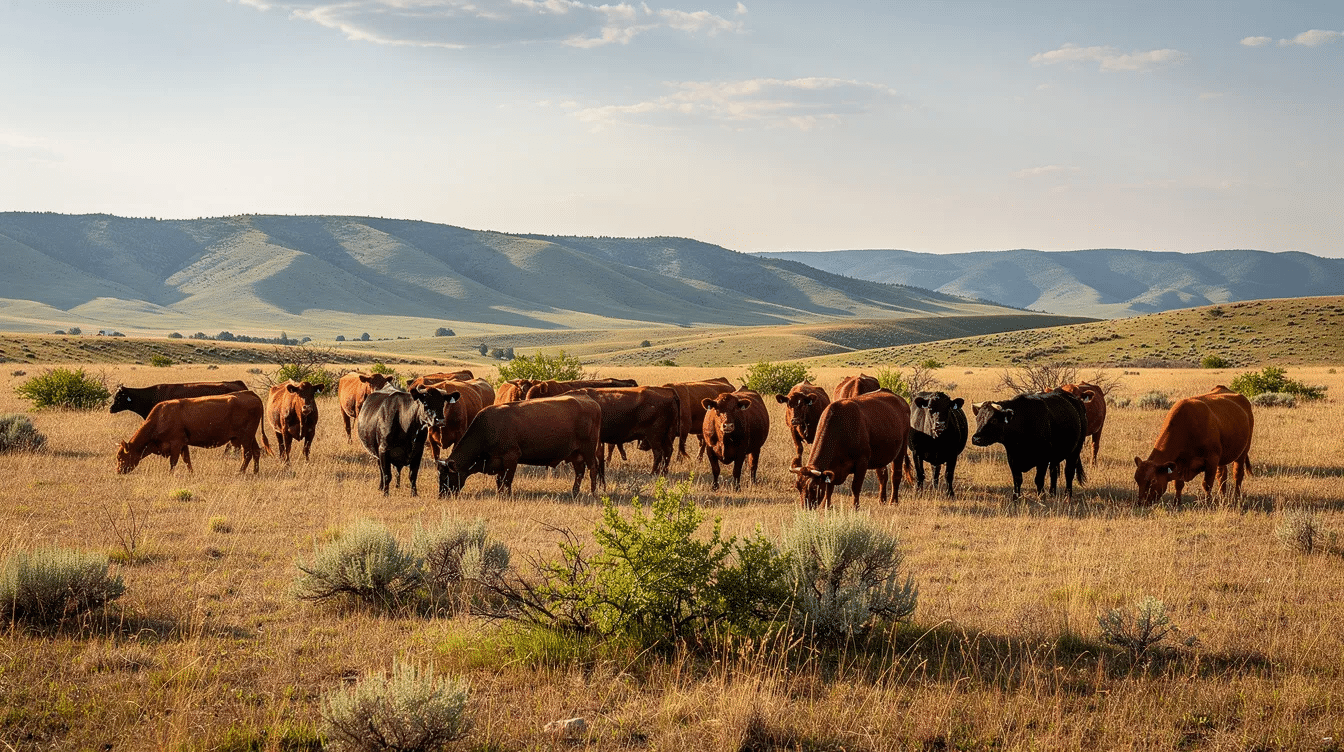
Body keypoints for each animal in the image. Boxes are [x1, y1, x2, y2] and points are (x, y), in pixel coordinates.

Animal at [116, 391, 269, 474]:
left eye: (120, 457)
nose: (118, 471)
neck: (161, 417)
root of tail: (250, 394)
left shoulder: (176, 444)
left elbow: (174, 462)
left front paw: (170, 474)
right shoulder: (184, 444)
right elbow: (187, 460)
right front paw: (191, 473)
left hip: (245, 437)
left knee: (247, 454)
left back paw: (240, 472)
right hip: (250, 437)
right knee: (256, 451)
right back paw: (255, 472)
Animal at [436, 394, 602, 497]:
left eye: (447, 476)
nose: (442, 495)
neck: (487, 428)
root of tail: (591, 402)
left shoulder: (511, 458)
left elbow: (507, 480)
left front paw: (507, 495)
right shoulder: (499, 463)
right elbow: (499, 481)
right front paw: (500, 494)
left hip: (588, 451)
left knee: (593, 468)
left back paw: (593, 492)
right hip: (576, 454)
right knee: (579, 472)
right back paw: (575, 492)